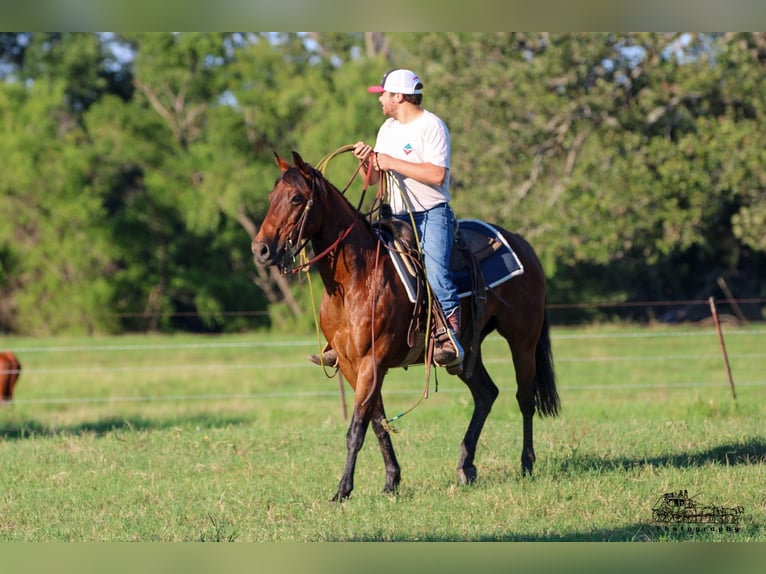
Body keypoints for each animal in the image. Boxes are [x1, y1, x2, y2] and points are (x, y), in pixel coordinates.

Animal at [252, 153, 560, 504]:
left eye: (296, 198)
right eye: (271, 197)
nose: (260, 249)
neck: (356, 278)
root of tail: (524, 246)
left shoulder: (373, 362)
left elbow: (356, 429)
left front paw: (343, 490)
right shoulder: (352, 365)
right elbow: (377, 422)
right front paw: (391, 479)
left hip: (522, 340)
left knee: (524, 398)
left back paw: (526, 463)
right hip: (465, 352)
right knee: (486, 393)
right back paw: (466, 466)